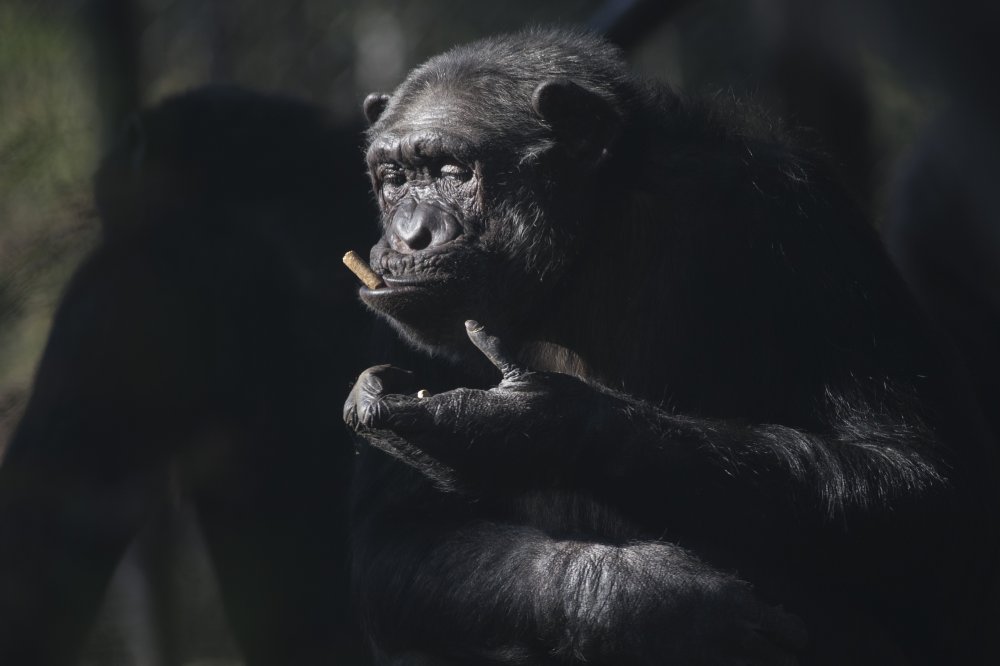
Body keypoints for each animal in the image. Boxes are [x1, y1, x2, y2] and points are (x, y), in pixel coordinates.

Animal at [342, 27, 992, 664]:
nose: (409, 235)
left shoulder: (802, 221)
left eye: (452, 171)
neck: (586, 242)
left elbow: (910, 474)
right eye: (395, 179)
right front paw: (644, 599)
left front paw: (516, 425)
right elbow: (400, 534)